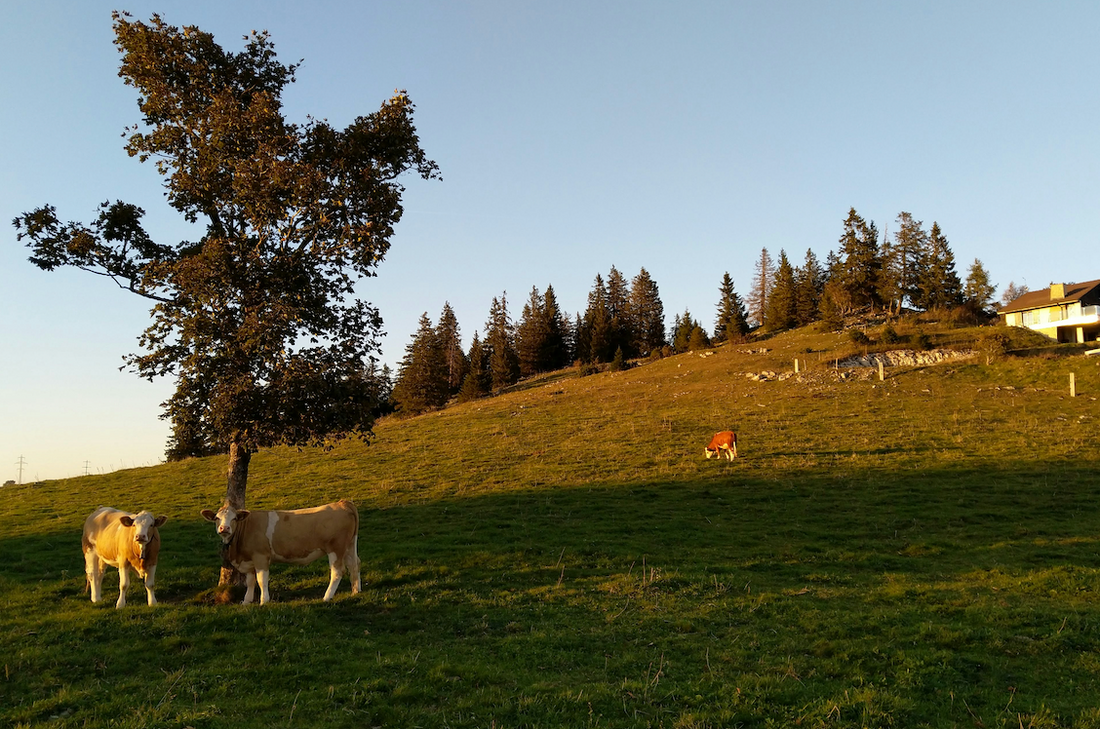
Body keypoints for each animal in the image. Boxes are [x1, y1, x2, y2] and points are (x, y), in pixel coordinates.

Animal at [200, 500, 361, 605]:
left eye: (234, 518)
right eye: (217, 518)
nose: (224, 528)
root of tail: (342, 503)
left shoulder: (261, 556)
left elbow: (261, 579)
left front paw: (264, 601)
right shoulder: (249, 559)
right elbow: (250, 581)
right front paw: (246, 601)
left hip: (336, 548)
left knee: (338, 571)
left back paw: (327, 597)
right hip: (349, 545)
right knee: (354, 564)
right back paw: (355, 591)